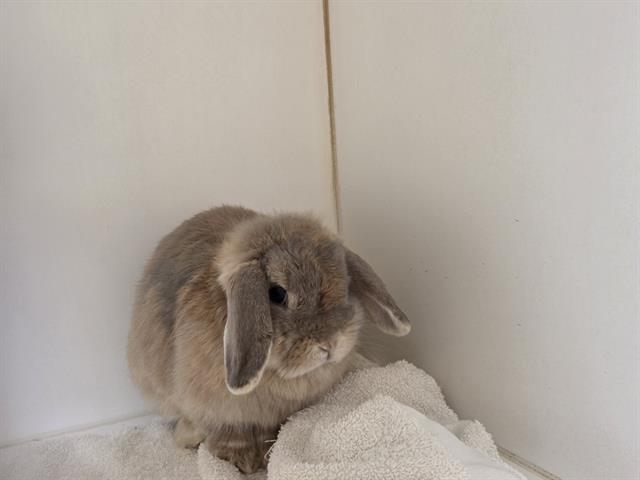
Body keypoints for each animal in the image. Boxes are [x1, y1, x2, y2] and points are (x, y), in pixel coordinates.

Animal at [127, 205, 410, 473]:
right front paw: (243, 461)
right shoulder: (217, 412)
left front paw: (266, 453)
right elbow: (229, 434)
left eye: (346, 283)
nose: (331, 344)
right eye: (277, 294)